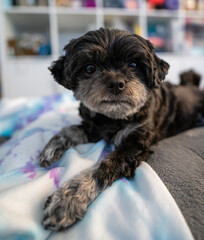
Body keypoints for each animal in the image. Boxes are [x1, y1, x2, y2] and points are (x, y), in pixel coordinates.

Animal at [38, 28, 204, 231]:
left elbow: (104, 168)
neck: (113, 118)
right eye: (90, 68)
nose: (116, 83)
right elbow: (70, 130)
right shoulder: (93, 128)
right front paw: (50, 149)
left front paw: (67, 200)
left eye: (133, 65)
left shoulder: (134, 144)